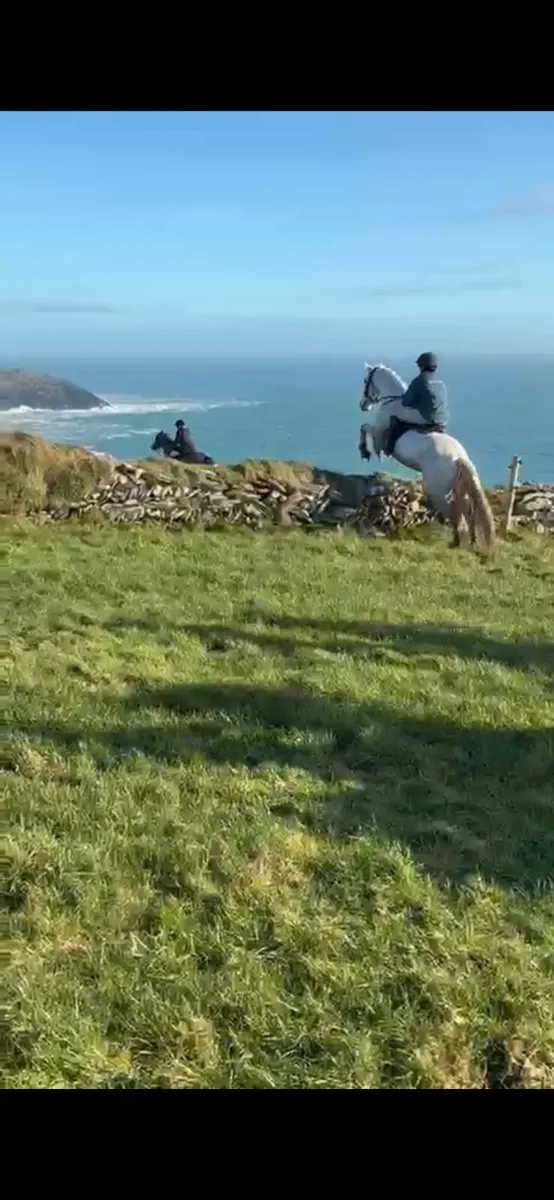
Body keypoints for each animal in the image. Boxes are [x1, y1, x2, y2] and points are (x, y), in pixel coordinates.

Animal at [359, 364, 495, 549]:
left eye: (366, 380)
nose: (363, 405)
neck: (392, 400)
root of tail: (459, 457)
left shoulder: (378, 430)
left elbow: (365, 428)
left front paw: (364, 451)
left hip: (437, 489)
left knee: (453, 510)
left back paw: (457, 540)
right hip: (457, 487)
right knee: (466, 509)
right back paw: (471, 540)